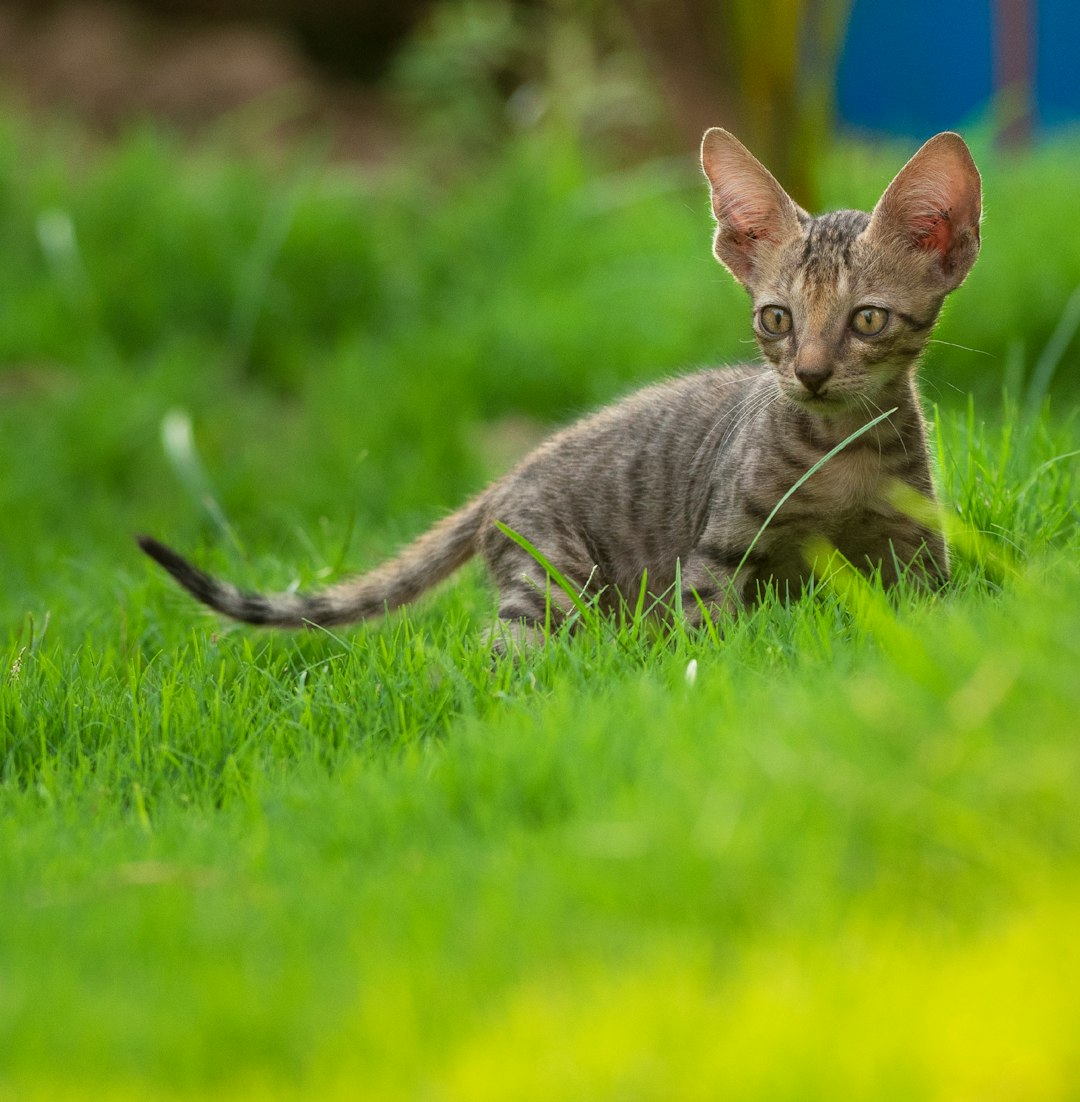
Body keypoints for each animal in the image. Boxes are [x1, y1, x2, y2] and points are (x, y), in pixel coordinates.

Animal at [139, 127, 983, 643]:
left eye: (866, 320)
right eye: (776, 319)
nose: (807, 373)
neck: (840, 450)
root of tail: (511, 473)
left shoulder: (918, 548)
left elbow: (936, 611)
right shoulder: (718, 550)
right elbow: (711, 634)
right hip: (548, 577)